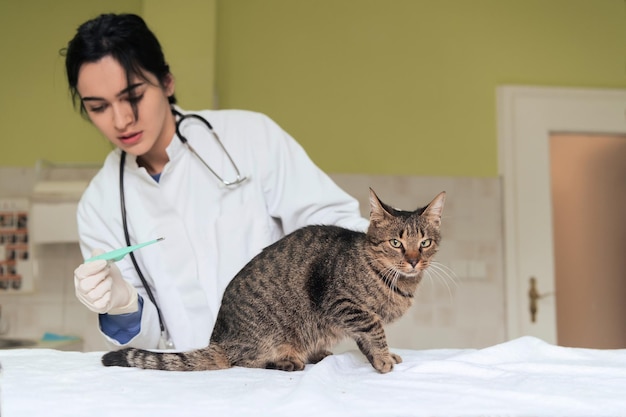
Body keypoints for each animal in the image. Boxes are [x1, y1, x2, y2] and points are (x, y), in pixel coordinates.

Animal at [101, 188, 444, 374]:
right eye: (396, 243)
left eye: (424, 242)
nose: (414, 260)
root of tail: (219, 339)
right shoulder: (342, 304)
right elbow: (373, 328)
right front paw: (383, 358)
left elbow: (366, 338)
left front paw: (380, 356)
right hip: (268, 336)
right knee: (243, 360)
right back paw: (288, 361)